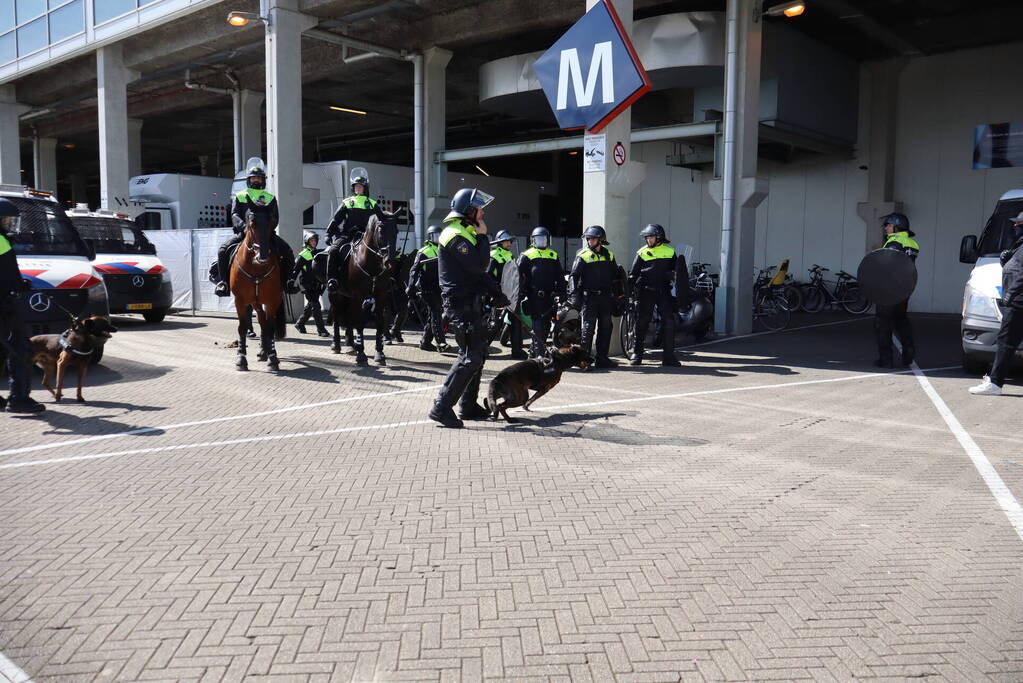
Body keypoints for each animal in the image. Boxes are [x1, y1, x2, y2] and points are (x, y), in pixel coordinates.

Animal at [327, 213, 394, 366]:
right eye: (380, 230)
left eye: (396, 231)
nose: (389, 261)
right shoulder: (359, 296)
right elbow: (359, 322)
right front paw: (361, 354)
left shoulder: (381, 296)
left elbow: (379, 323)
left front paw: (379, 353)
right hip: (335, 295)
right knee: (336, 317)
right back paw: (336, 345)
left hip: (348, 297)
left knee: (348, 318)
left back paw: (351, 345)